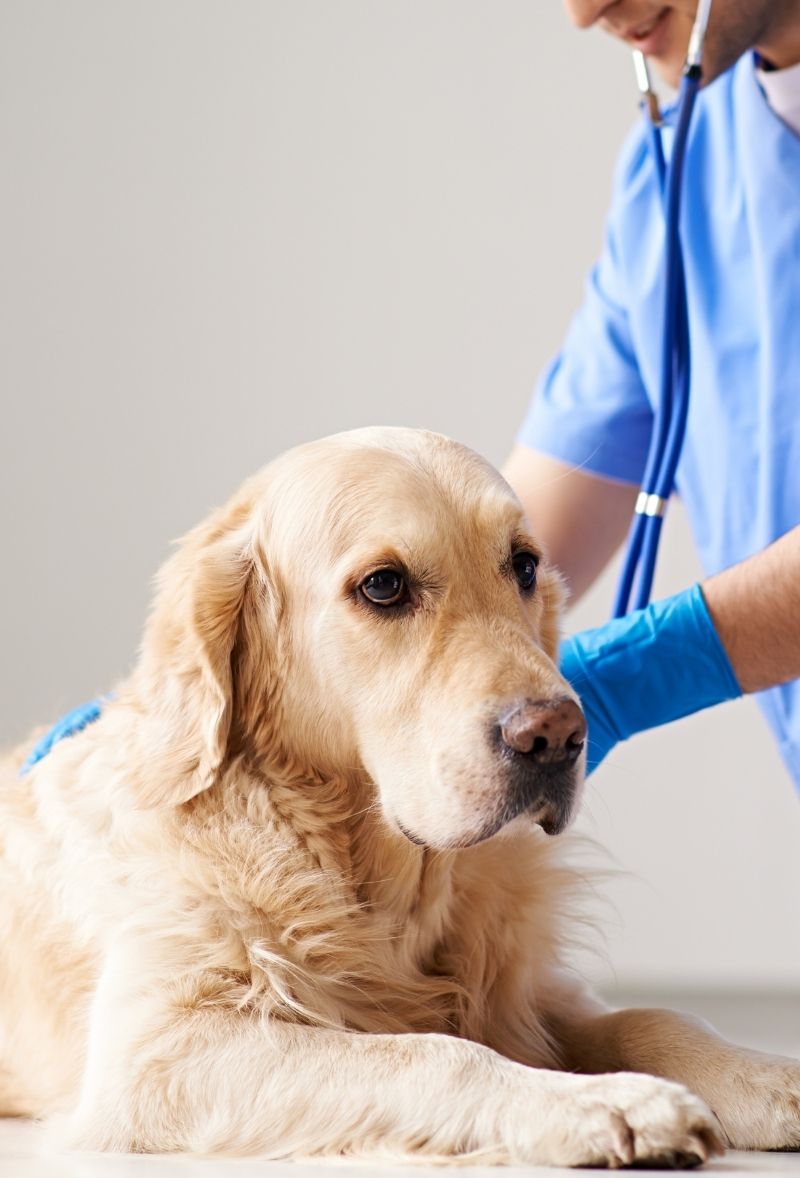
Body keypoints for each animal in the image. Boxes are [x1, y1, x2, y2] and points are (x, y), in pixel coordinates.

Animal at [1, 428, 800, 1163]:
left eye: (524, 564)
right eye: (384, 586)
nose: (557, 735)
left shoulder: (528, 989)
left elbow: (653, 1018)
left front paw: (762, 1076)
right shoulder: (161, 1049)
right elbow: (432, 1052)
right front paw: (604, 1102)